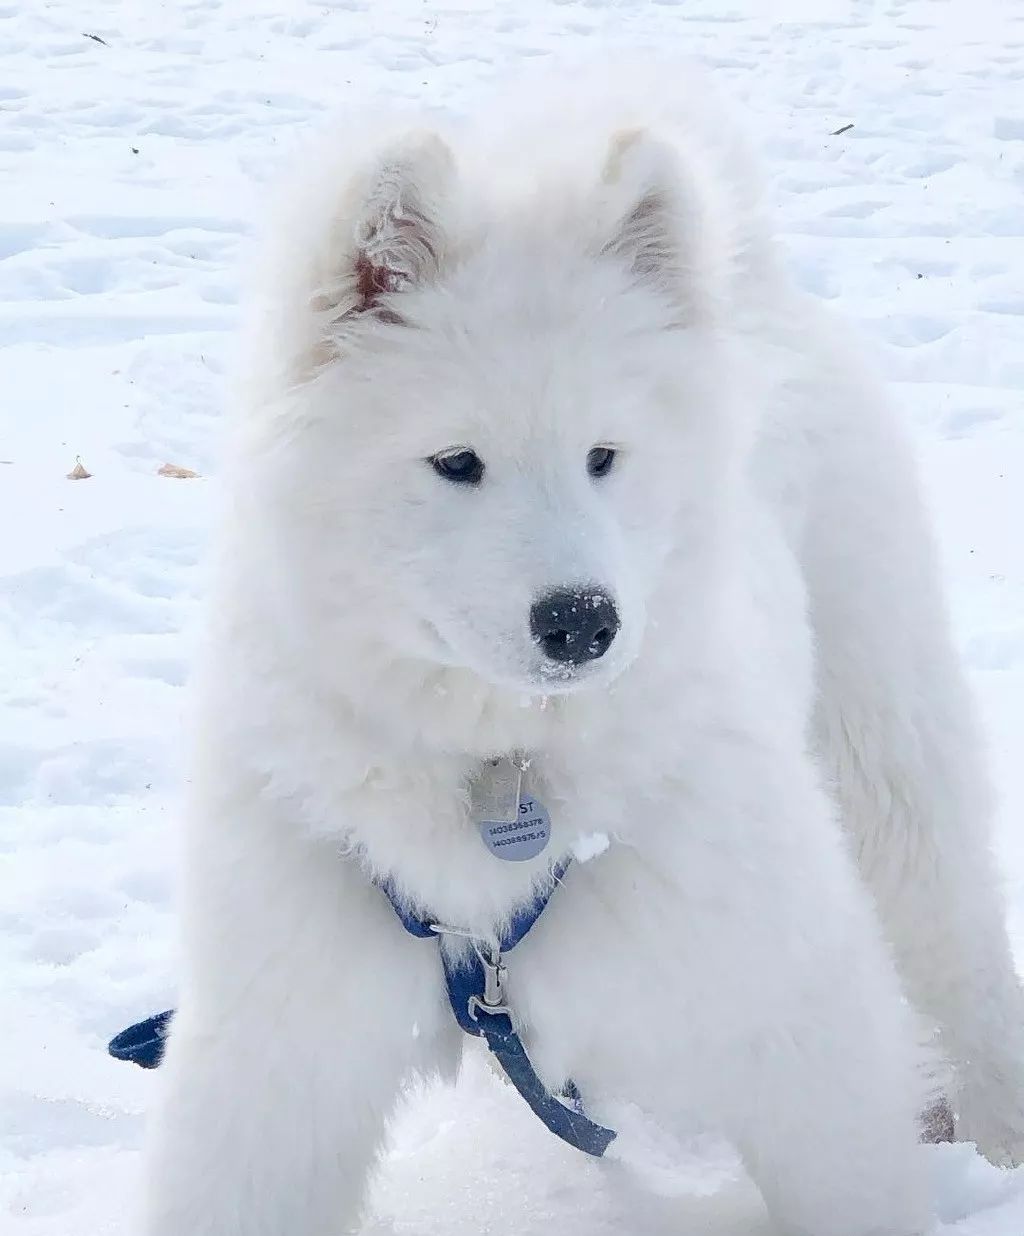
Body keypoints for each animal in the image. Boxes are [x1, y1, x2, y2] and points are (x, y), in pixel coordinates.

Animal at [139, 60, 1024, 1236]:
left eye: (604, 455)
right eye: (455, 462)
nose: (582, 621)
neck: (502, 768)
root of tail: (748, 278)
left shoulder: (793, 1001)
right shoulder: (278, 1048)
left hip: (885, 750)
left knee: (960, 957)